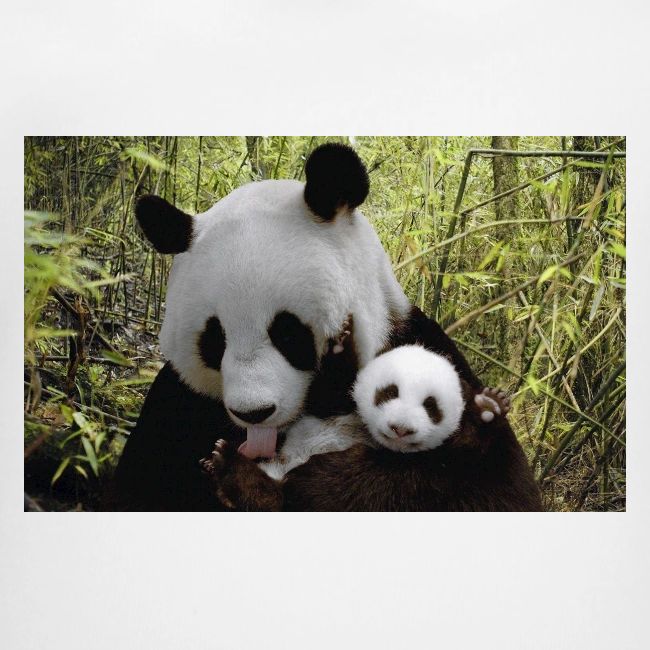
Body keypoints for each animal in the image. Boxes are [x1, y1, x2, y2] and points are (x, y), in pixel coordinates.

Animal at [109, 143, 539, 512]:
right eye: (215, 340)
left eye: (288, 333)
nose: (254, 412)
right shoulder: (179, 403)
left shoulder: (420, 346)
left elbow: (490, 487)